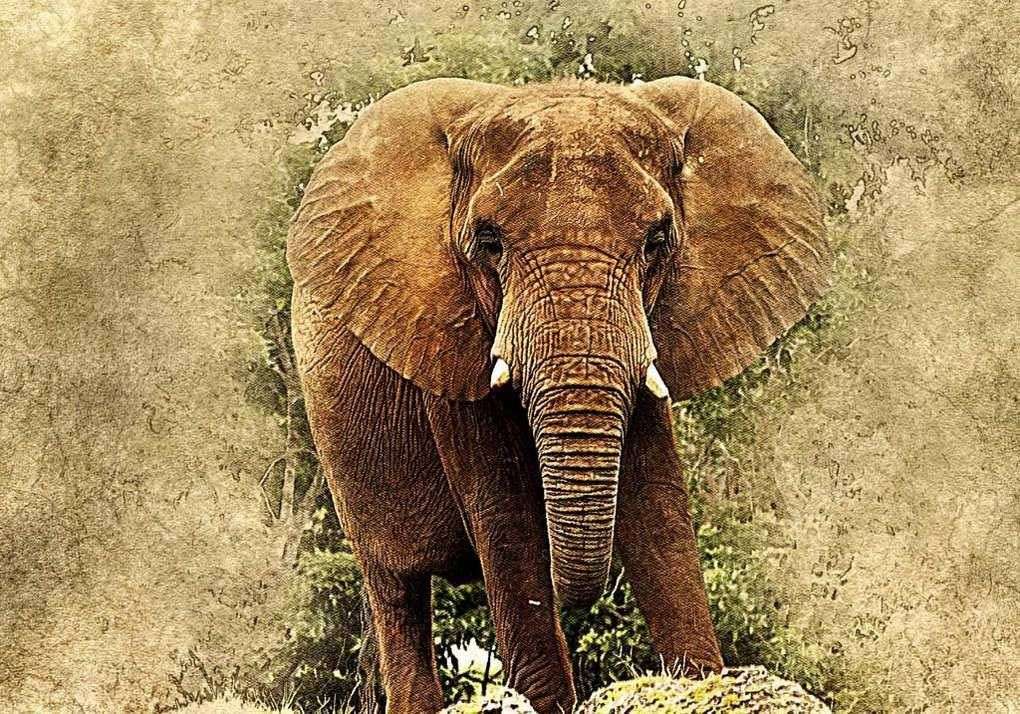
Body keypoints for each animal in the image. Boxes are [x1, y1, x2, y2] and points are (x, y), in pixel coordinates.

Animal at [286, 76, 830, 713]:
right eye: (488, 241)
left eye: (658, 240)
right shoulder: (443, 330)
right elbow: (507, 518)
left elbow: (658, 505)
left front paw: (699, 683)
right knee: (396, 591)